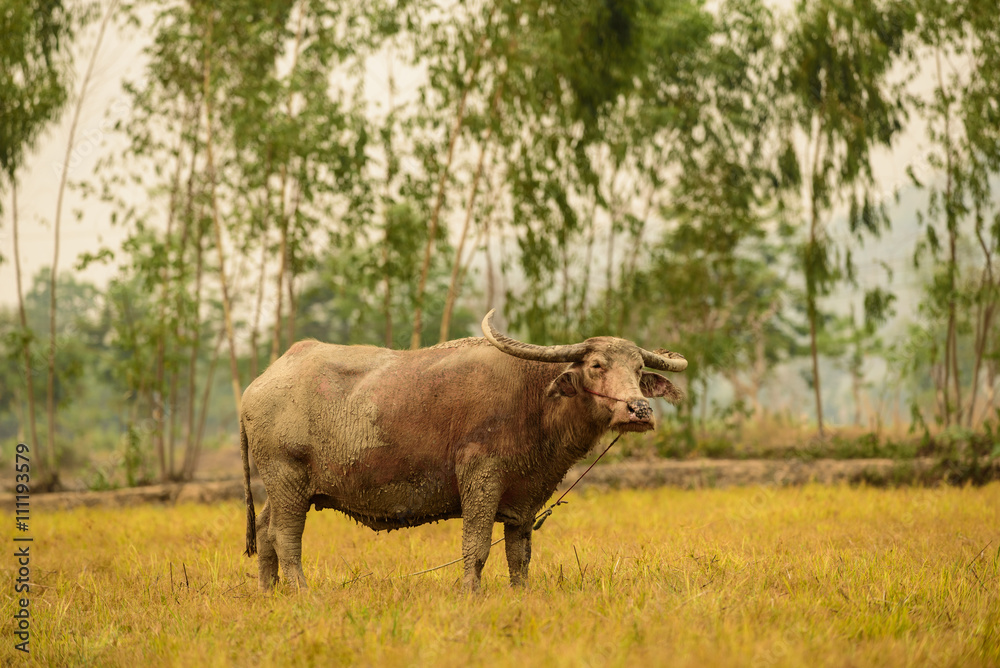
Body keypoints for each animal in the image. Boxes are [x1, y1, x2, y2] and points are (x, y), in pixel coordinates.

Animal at [240, 308, 688, 588]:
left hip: (285, 487)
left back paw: (268, 591)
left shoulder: (525, 497)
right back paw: (300, 590)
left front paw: (520, 594)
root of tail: (256, 386)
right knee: (285, 537)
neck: (534, 399)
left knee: (264, 530)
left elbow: (519, 554)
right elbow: (476, 547)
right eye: (596, 365)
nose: (639, 410)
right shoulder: (481, 478)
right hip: (287, 476)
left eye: (638, 369)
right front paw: (469, 591)